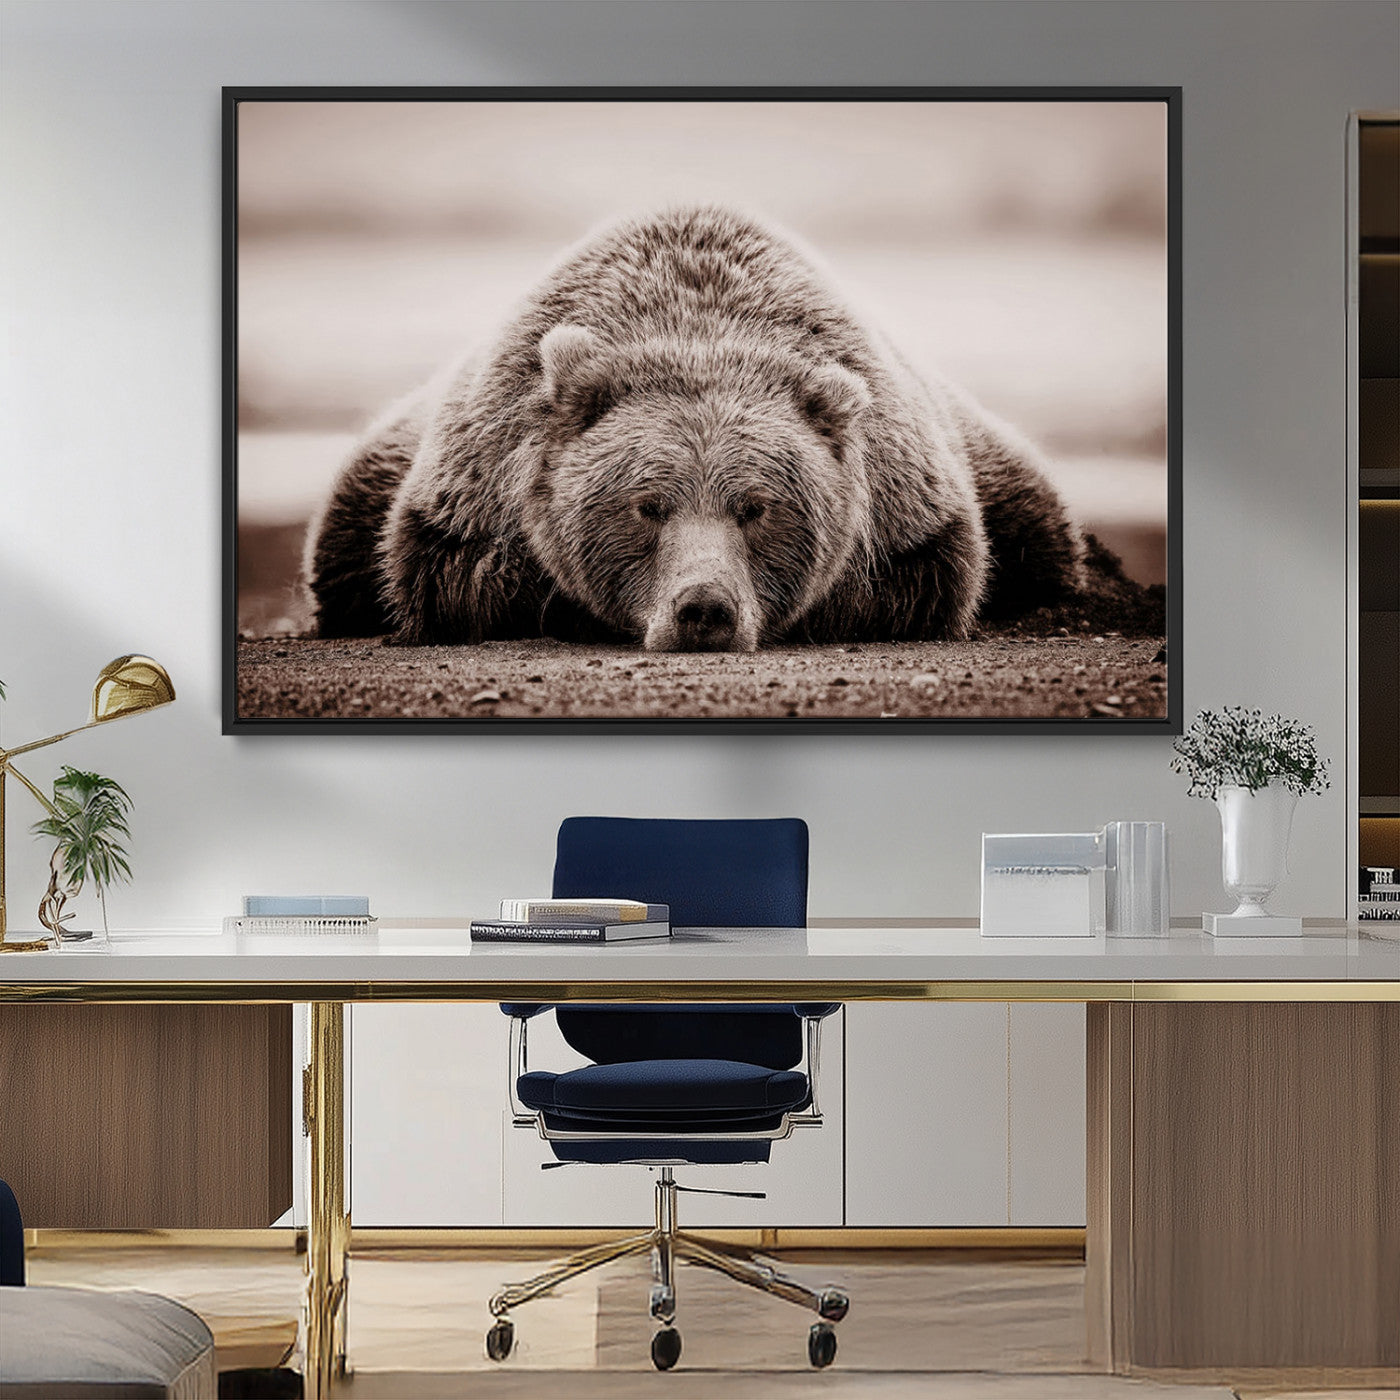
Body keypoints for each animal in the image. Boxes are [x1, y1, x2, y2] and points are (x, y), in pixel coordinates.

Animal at [305, 204, 1085, 651]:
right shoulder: (475, 486)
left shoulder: (908, 503)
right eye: (647, 505)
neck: (697, 327)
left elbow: (923, 578)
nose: (704, 609)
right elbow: (455, 575)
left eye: (757, 507)